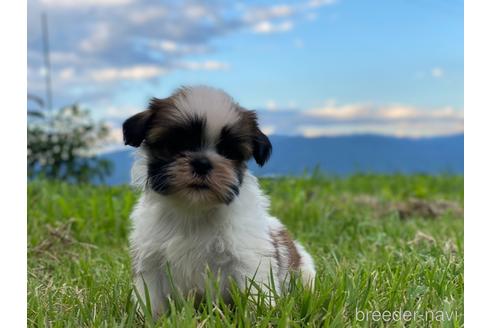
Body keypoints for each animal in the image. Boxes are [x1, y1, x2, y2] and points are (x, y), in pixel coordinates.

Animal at [123, 86, 316, 316]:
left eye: (227, 151)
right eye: (176, 144)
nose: (202, 163)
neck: (193, 209)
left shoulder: (248, 257)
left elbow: (256, 290)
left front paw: (262, 315)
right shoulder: (150, 261)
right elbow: (150, 298)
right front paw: (149, 318)